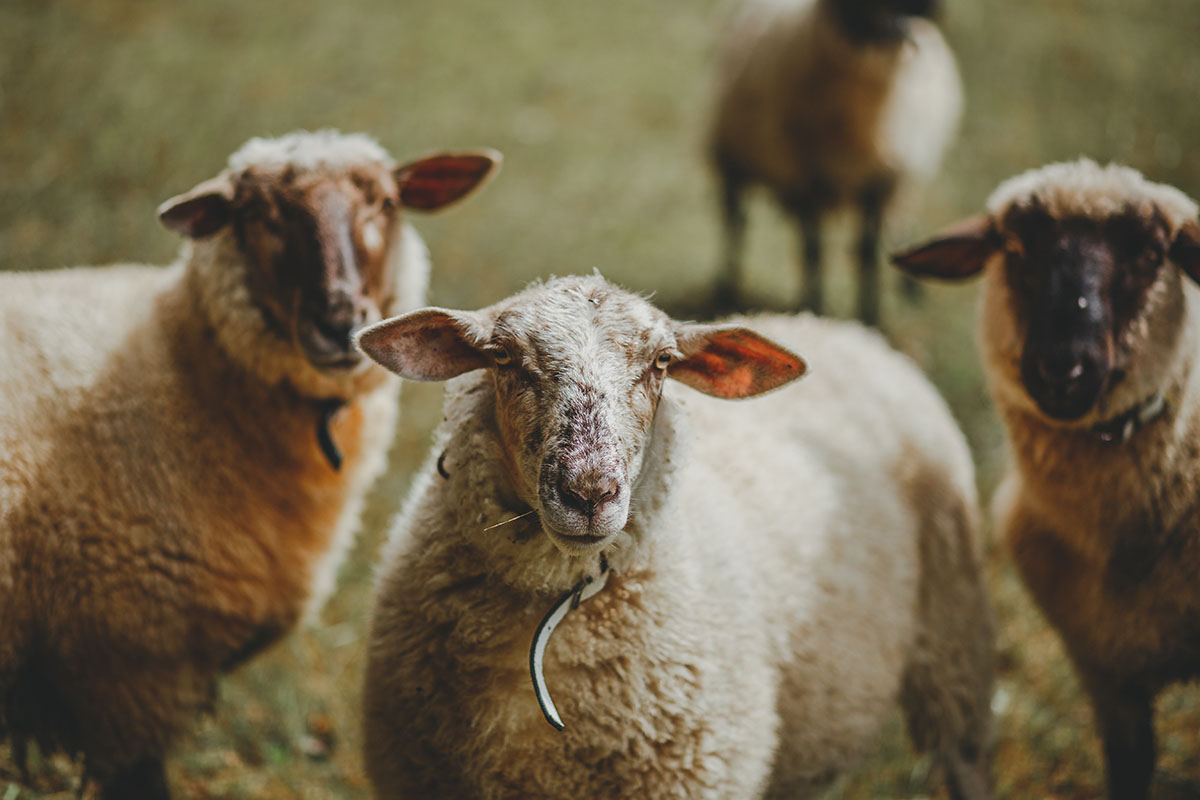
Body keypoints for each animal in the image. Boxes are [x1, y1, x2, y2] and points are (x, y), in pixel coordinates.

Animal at [708, 0, 962, 324]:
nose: (899, 31)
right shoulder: (806, 176)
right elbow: (814, 251)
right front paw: (814, 307)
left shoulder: (880, 179)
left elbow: (867, 253)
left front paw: (869, 317)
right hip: (733, 156)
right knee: (735, 221)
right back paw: (726, 285)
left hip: (904, 179)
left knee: (899, 220)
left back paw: (911, 282)